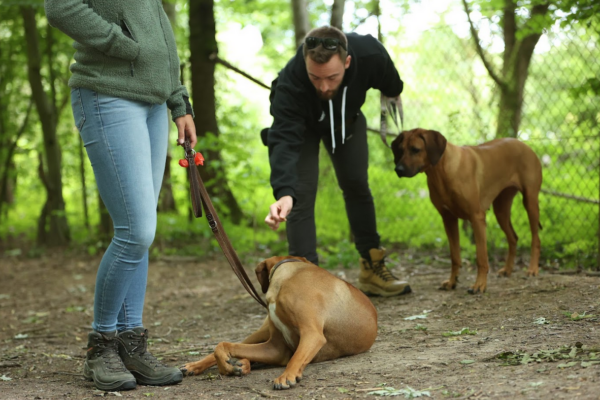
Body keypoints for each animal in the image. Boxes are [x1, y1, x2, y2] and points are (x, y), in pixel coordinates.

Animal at [180, 256, 378, 390]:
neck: (288, 276)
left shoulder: (310, 335)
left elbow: (296, 357)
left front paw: (286, 376)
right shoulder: (275, 347)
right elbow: (221, 346)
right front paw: (226, 366)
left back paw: (242, 364)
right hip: (260, 332)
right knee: (224, 347)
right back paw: (196, 366)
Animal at [392, 129, 540, 294]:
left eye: (415, 149)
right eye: (400, 149)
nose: (398, 169)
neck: (441, 172)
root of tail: (524, 145)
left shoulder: (477, 218)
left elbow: (481, 258)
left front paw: (480, 285)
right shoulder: (448, 219)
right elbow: (455, 257)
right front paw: (452, 282)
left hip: (530, 201)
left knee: (535, 238)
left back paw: (532, 269)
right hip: (501, 209)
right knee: (513, 237)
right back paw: (508, 269)